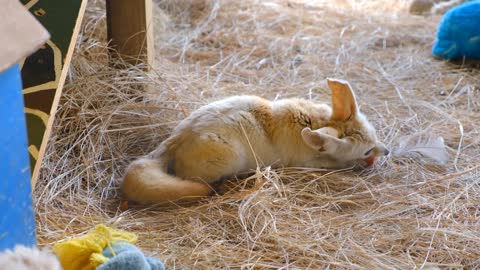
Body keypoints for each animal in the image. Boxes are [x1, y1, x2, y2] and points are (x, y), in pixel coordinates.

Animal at [122, 79, 388, 204]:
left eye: (375, 136)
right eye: (366, 151)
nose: (386, 151)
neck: (313, 120)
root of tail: (173, 141)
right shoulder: (305, 162)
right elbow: (335, 164)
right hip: (226, 160)